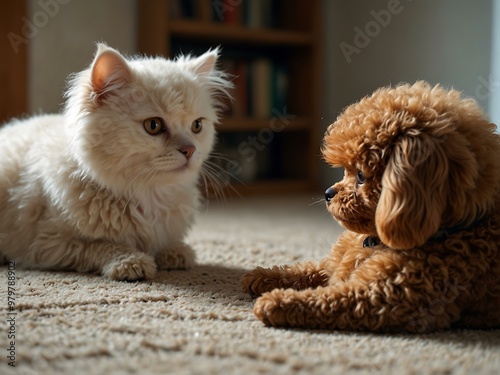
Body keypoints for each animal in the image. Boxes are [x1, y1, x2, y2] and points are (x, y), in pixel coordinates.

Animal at [0, 42, 230, 280]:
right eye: (153, 125)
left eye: (197, 126)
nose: (190, 150)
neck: (149, 196)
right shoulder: (48, 244)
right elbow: (101, 246)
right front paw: (132, 262)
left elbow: (163, 243)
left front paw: (175, 253)